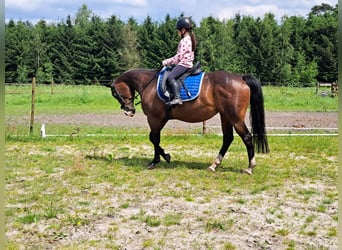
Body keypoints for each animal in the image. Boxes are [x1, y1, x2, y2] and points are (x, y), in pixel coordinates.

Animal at [103, 67, 268, 175]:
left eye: (115, 93)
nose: (129, 111)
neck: (149, 83)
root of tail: (241, 78)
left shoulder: (154, 118)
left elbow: (154, 138)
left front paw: (155, 161)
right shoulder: (161, 118)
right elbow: (153, 138)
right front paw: (165, 156)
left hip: (234, 116)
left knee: (246, 137)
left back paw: (250, 167)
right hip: (225, 116)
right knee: (228, 138)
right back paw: (214, 165)